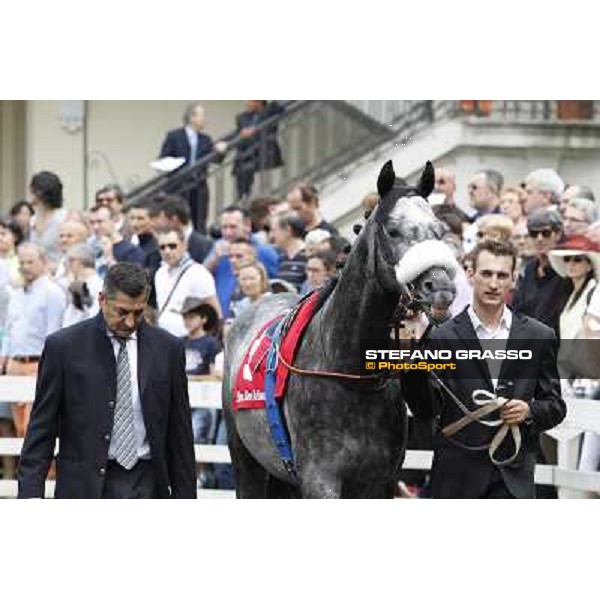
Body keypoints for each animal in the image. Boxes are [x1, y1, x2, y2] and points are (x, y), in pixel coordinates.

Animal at [223, 158, 458, 496]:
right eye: (393, 230)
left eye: (439, 230)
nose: (440, 288)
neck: (349, 373)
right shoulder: (320, 479)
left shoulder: (380, 482)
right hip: (246, 459)